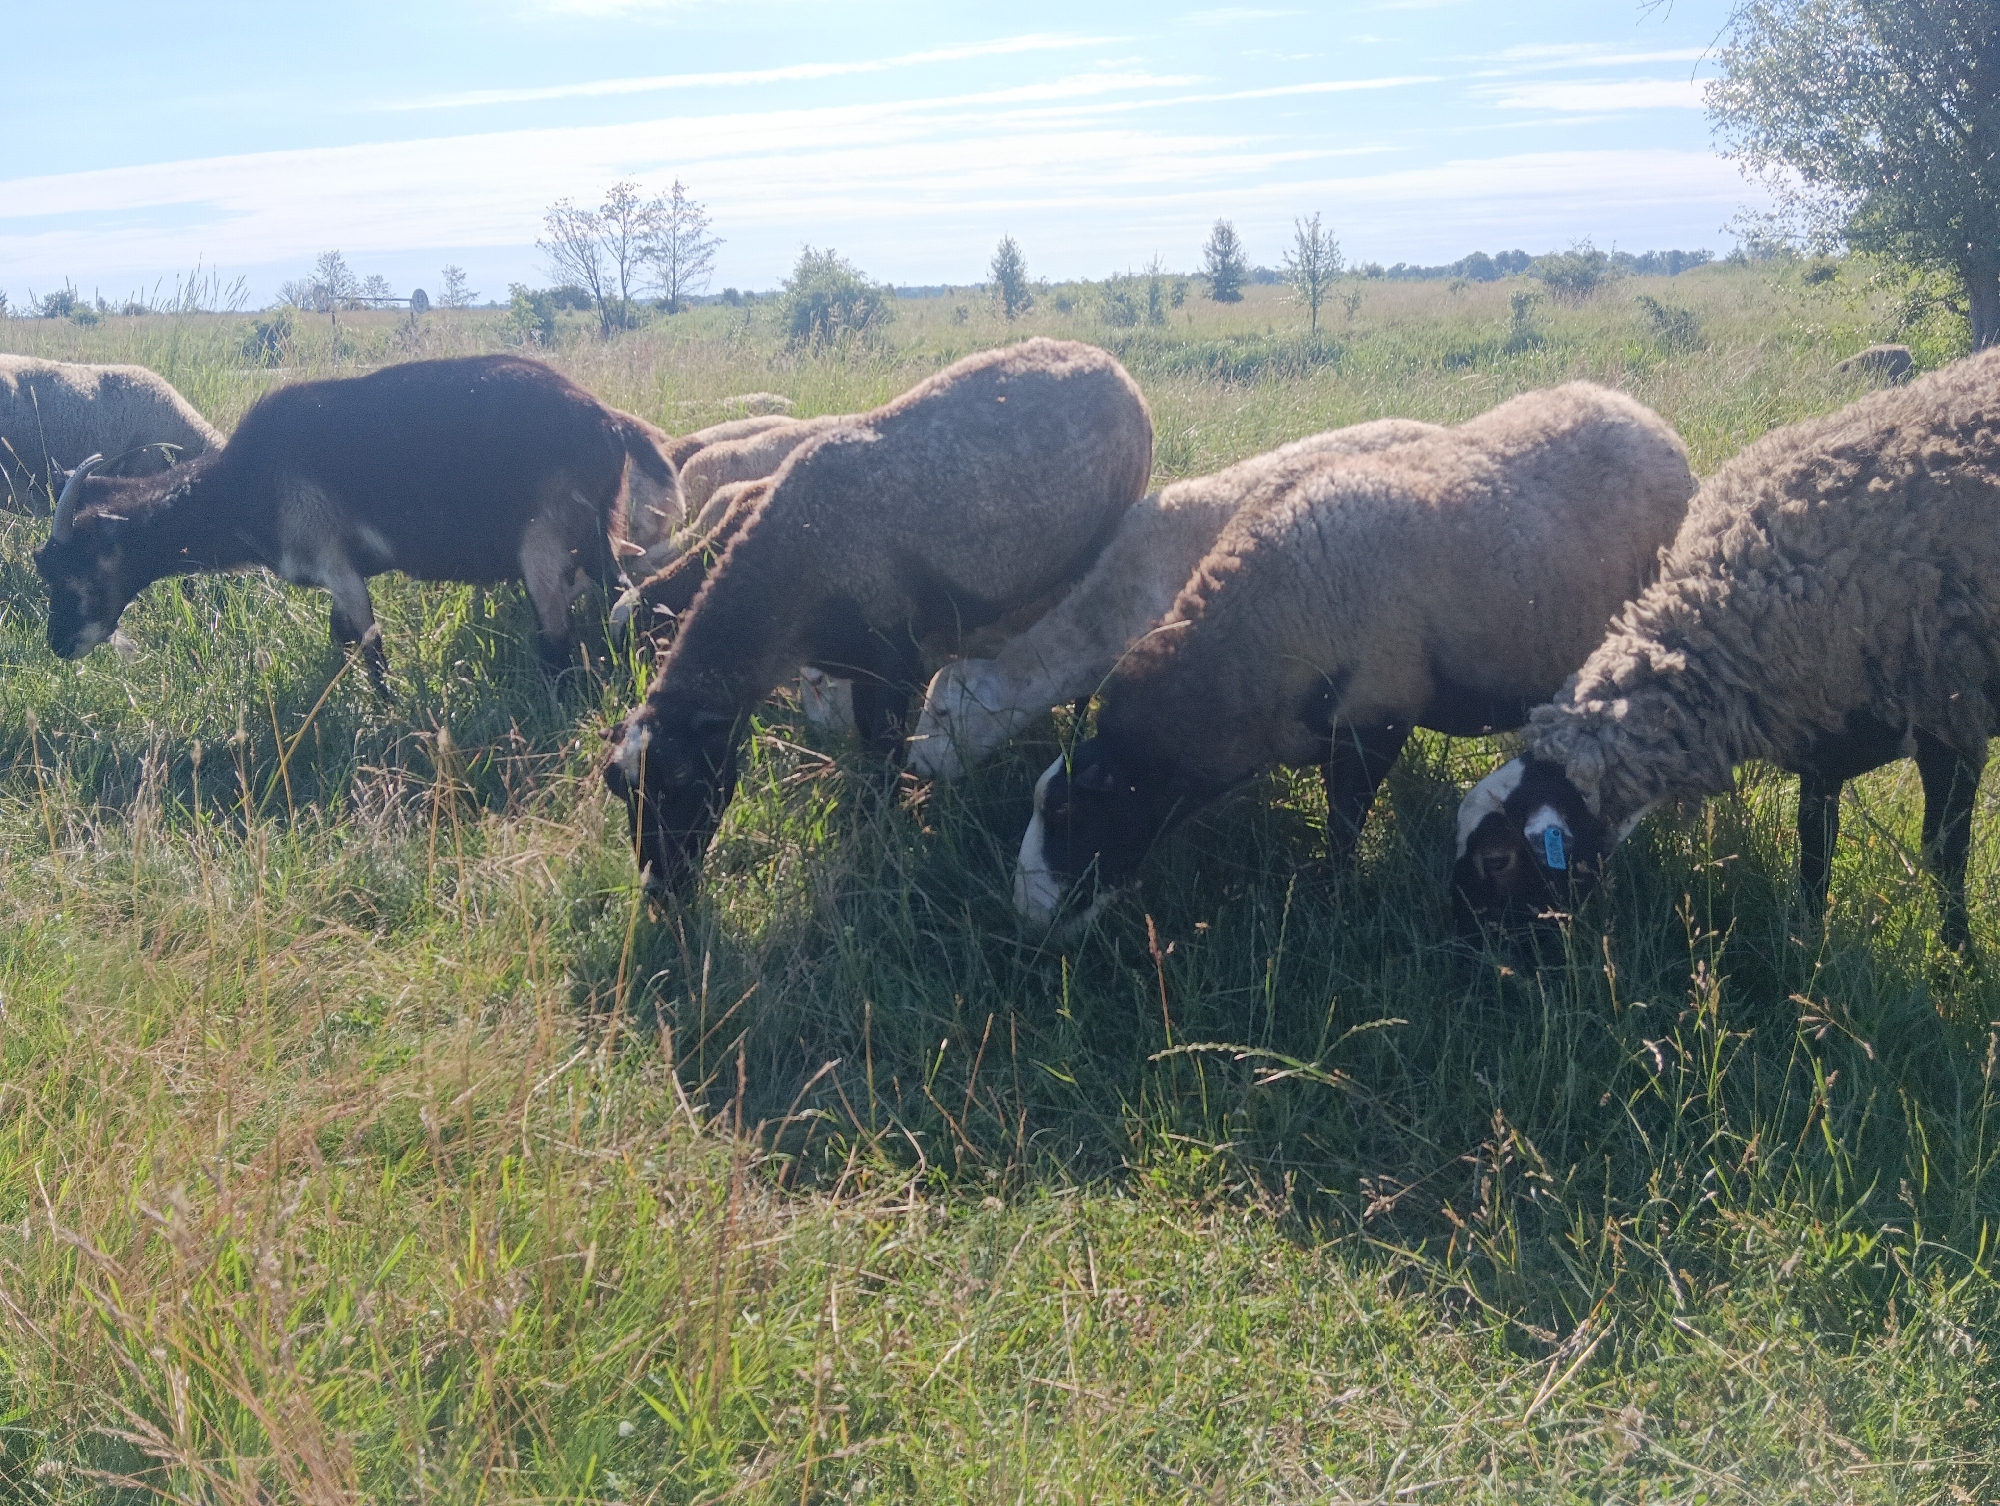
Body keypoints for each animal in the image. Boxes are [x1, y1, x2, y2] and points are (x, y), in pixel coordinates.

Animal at [35, 354, 683, 691]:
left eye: (79, 572)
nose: (59, 645)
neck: (246, 485)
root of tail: (608, 421)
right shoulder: (336, 579)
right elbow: (342, 638)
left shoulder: (336, 562)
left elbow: (370, 648)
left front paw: (385, 711)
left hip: (551, 538)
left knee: (574, 626)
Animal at [603, 338, 1154, 897]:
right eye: (621, 790)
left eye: (681, 782)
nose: (657, 887)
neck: (791, 559)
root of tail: (1105, 359)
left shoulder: (892, 660)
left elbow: (881, 760)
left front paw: (873, 835)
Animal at [1014, 383, 1696, 927]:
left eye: (1071, 812)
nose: (1025, 917)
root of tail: (1637, 413)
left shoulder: (1376, 722)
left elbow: (1344, 829)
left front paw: (1335, 896)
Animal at [1453, 347, 2000, 951]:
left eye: (1497, 860)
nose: (1464, 947)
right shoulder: (1824, 744)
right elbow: (1815, 847)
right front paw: (1805, 943)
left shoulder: (1949, 717)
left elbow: (1945, 855)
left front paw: (1957, 953)